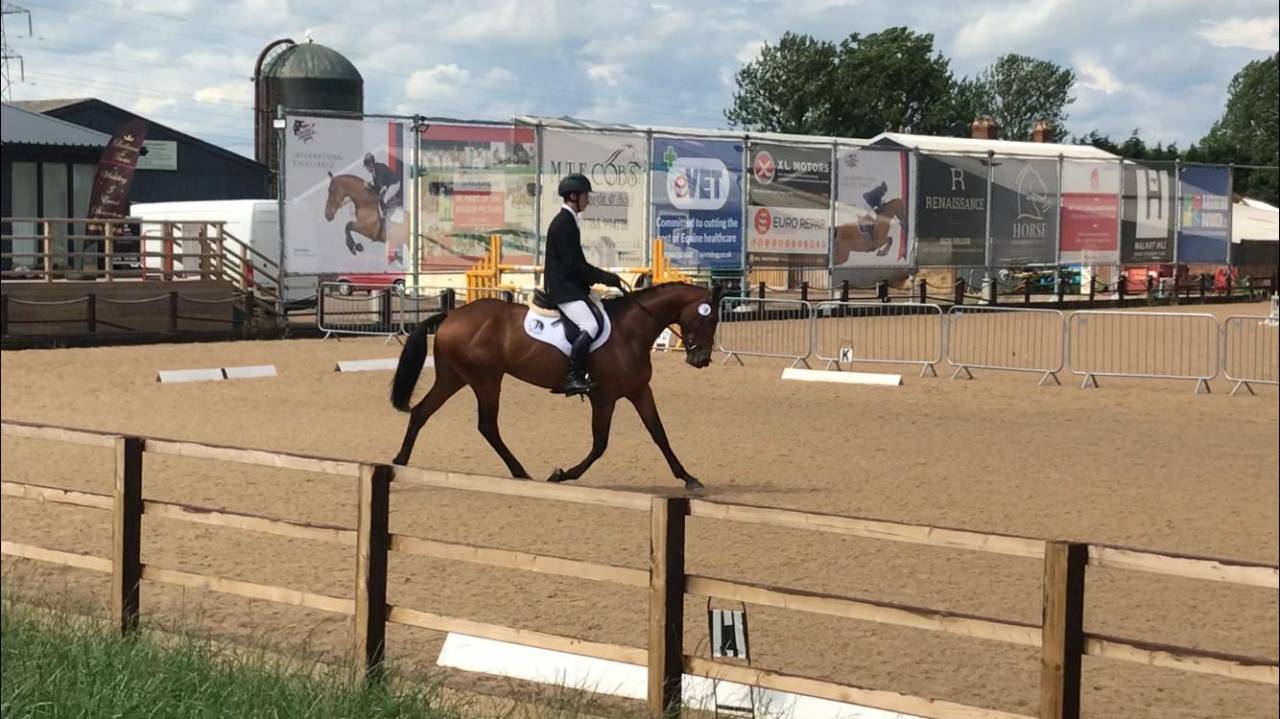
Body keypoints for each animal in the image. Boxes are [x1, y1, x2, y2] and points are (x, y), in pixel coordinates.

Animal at [389, 282, 724, 490]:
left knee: (421, 412)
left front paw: (687, 477)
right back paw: (520, 471)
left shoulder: (639, 391)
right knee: (486, 425)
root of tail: (452, 314)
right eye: (710, 320)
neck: (630, 332)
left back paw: (400, 462)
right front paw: (562, 474)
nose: (701, 359)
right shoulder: (604, 397)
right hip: (486, 380)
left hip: (453, 378)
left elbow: (659, 434)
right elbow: (600, 444)